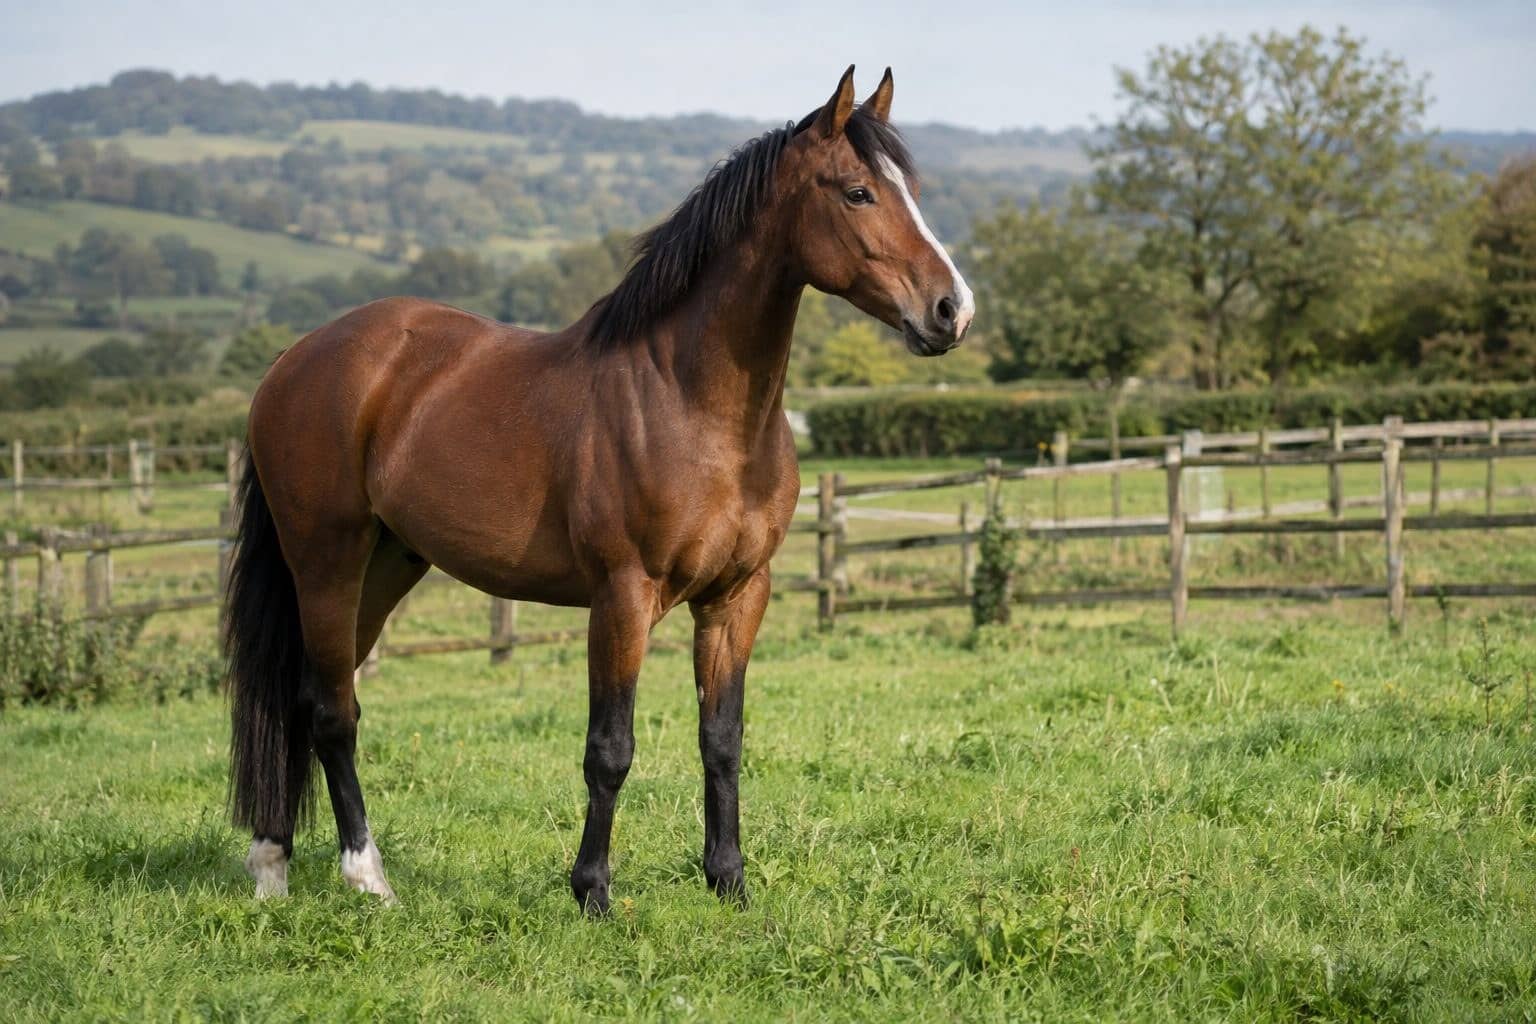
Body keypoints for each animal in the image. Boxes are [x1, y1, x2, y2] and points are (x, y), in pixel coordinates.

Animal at [226, 65, 975, 914]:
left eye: (911, 190)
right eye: (856, 192)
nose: (952, 310)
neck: (692, 404)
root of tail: (295, 359)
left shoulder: (737, 596)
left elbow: (722, 739)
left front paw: (729, 881)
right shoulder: (623, 594)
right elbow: (610, 748)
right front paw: (592, 893)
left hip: (387, 565)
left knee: (303, 699)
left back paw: (273, 865)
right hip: (326, 561)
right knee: (331, 713)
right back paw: (365, 876)